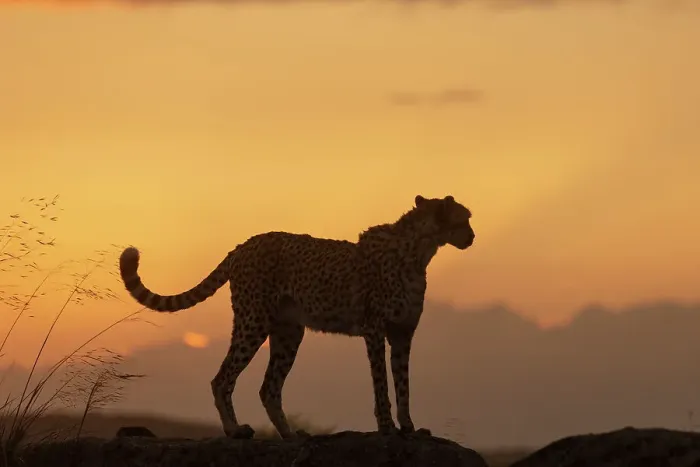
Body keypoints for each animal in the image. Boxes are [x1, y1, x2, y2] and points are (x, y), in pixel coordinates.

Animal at [118, 194, 475, 440]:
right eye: (465, 219)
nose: (472, 237)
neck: (418, 251)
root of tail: (245, 244)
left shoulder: (403, 333)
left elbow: (403, 384)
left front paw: (409, 428)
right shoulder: (374, 330)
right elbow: (382, 384)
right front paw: (387, 427)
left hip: (289, 332)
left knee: (269, 387)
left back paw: (290, 435)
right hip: (253, 321)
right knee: (222, 378)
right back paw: (235, 431)